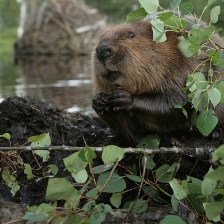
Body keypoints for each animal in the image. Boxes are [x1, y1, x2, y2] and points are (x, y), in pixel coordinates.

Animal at [90, 17, 224, 145]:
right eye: (101, 37)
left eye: (131, 35)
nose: (102, 50)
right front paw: (98, 101)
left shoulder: (186, 70)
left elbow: (176, 102)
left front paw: (124, 98)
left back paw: (216, 134)